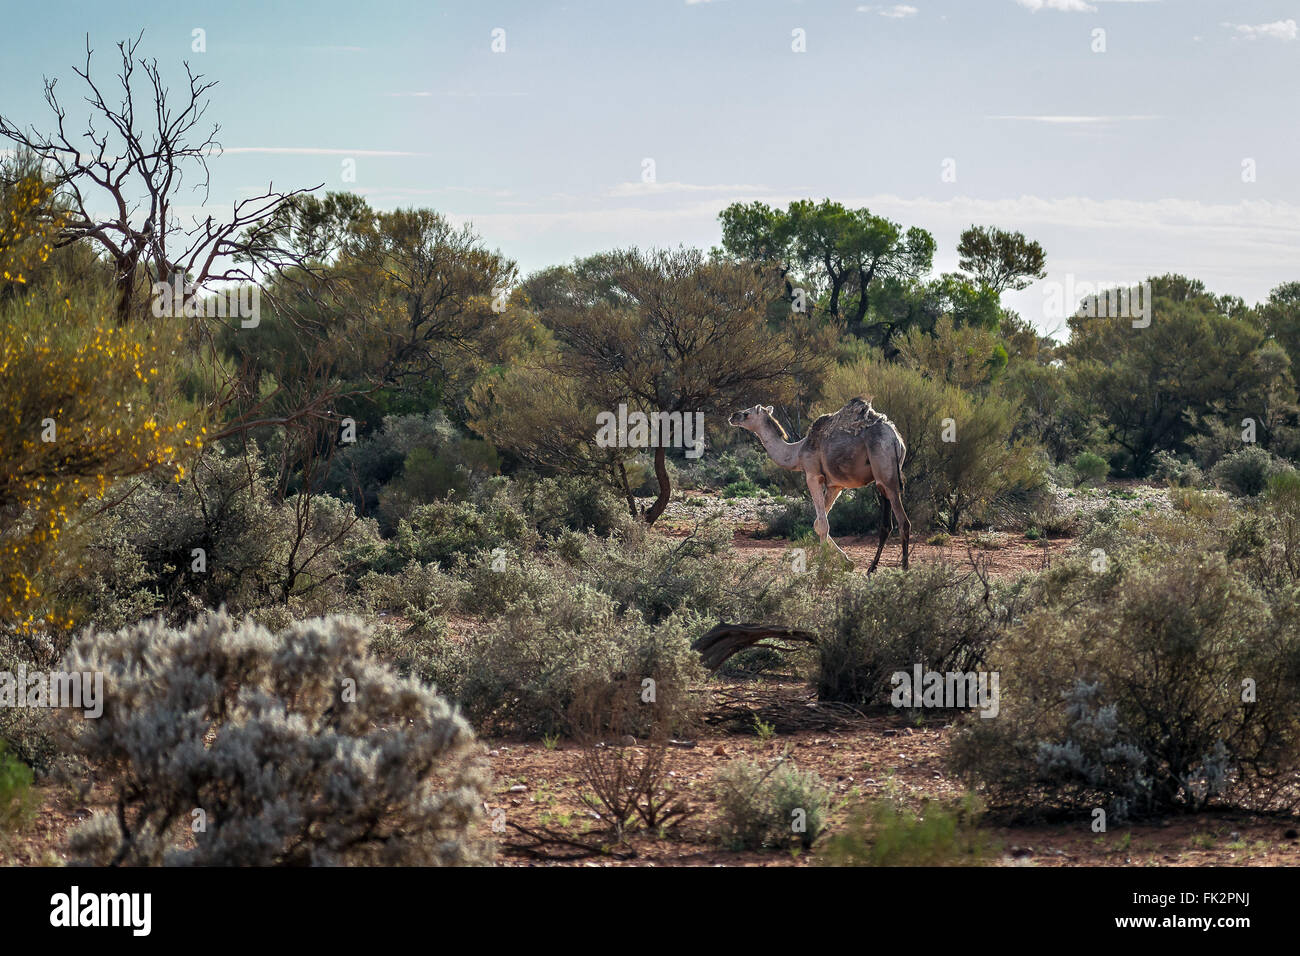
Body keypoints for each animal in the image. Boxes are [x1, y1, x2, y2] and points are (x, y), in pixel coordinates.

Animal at [733, 398, 915, 572]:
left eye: (747, 413)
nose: (733, 416)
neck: (797, 453)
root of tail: (895, 439)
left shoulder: (813, 476)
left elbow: (822, 525)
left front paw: (822, 566)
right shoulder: (835, 485)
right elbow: (818, 523)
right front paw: (847, 562)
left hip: (886, 473)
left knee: (903, 521)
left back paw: (904, 569)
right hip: (884, 478)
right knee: (886, 525)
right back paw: (871, 568)